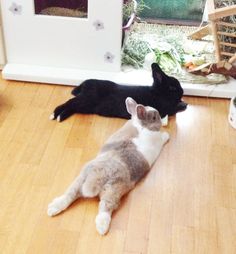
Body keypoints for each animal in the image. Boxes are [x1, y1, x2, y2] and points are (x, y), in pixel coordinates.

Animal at [47, 96, 170, 234]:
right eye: (154, 117)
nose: (159, 119)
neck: (140, 125)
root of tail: (99, 175)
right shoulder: (157, 139)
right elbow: (162, 137)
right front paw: (166, 132)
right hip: (114, 190)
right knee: (106, 207)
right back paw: (102, 227)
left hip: (82, 179)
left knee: (70, 193)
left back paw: (53, 208)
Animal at [50, 63, 188, 123]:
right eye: (172, 88)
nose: (182, 91)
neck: (158, 93)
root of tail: (84, 84)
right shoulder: (166, 108)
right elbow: (175, 108)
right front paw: (184, 105)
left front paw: (184, 104)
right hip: (85, 100)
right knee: (68, 103)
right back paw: (54, 115)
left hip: (85, 106)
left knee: (71, 107)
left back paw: (60, 117)